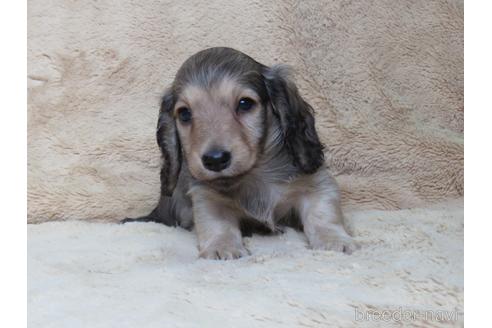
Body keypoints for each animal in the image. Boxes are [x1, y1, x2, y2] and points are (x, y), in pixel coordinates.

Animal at [124, 47, 358, 260]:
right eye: (184, 114)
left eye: (245, 103)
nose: (215, 160)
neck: (254, 174)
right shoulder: (206, 196)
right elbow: (217, 223)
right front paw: (221, 247)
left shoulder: (316, 183)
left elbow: (323, 214)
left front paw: (334, 240)